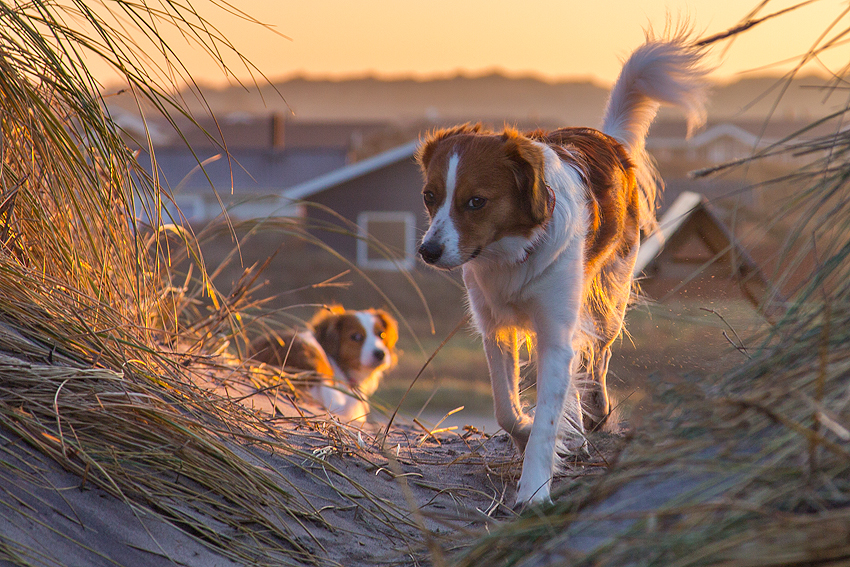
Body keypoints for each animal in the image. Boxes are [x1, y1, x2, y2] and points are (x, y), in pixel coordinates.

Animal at [414, 35, 704, 506]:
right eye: (430, 196)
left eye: (476, 201)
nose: (428, 251)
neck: (511, 253)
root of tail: (609, 140)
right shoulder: (495, 328)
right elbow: (507, 410)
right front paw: (526, 435)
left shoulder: (556, 335)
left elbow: (551, 415)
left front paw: (533, 491)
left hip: (609, 303)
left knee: (598, 359)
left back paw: (596, 415)